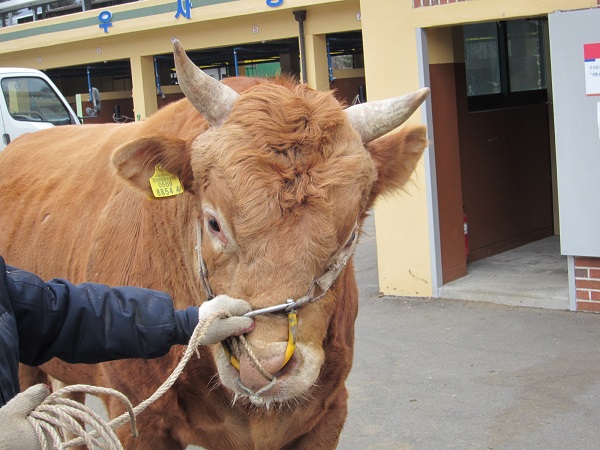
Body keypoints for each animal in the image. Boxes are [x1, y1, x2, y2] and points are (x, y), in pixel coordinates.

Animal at [0, 40, 426, 448]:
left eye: (350, 234)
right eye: (214, 223)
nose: (265, 363)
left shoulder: (329, 414)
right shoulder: (139, 422)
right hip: (28, 369)